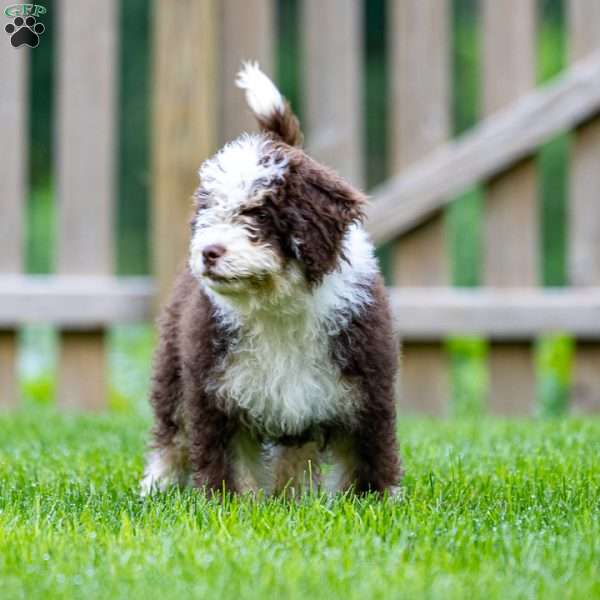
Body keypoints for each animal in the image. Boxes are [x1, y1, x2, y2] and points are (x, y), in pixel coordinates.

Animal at [142, 63, 404, 500]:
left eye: (258, 214)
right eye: (208, 213)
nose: (208, 252)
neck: (277, 306)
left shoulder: (365, 390)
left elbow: (369, 459)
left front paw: (378, 502)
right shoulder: (215, 390)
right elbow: (226, 463)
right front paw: (228, 503)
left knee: (297, 453)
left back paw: (292, 496)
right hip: (174, 368)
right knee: (172, 430)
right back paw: (156, 485)